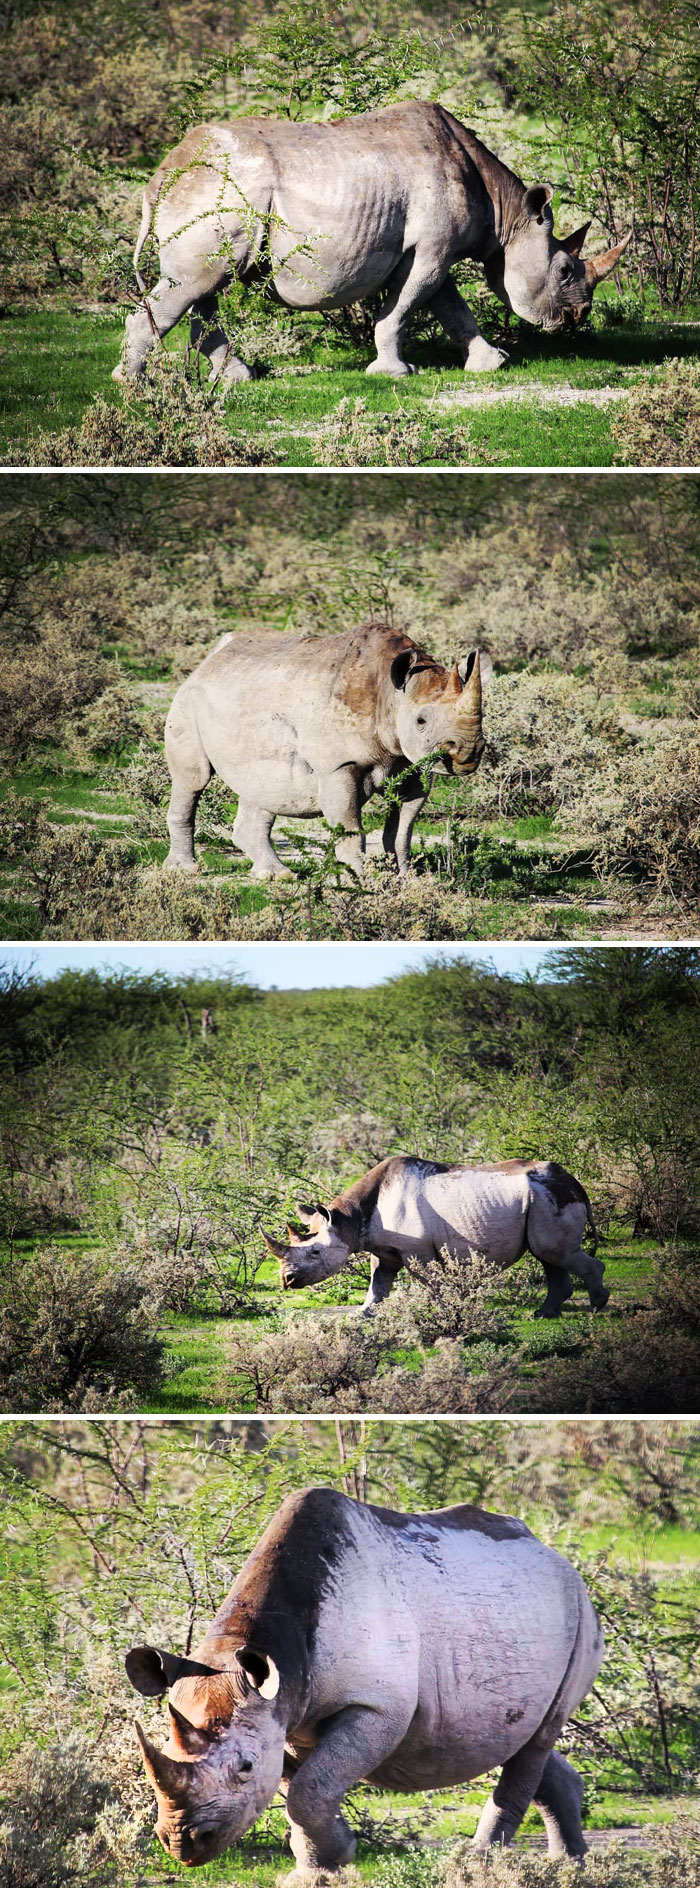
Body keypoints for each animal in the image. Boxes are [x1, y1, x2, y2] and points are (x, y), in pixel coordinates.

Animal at [114, 100, 630, 384]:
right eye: (563, 270)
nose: (578, 317)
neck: (509, 217)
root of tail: (159, 176)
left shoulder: (433, 249)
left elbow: (451, 308)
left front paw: (493, 364)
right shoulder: (432, 250)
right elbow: (406, 306)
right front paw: (395, 373)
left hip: (214, 195)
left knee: (205, 289)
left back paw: (238, 379)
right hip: (215, 192)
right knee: (192, 286)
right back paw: (132, 385)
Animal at [126, 1486, 603, 1874]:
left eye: (244, 1768)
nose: (182, 1843)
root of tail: (557, 1557)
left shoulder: (375, 1708)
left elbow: (308, 1791)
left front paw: (328, 1862)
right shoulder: (283, 1713)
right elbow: (302, 1787)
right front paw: (326, 1862)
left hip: (580, 1613)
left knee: (538, 1739)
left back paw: (477, 1866)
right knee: (523, 1737)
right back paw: (571, 1865)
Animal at [164, 625, 492, 880]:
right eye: (421, 721)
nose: (468, 751)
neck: (392, 695)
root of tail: (209, 659)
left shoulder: (413, 764)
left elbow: (403, 828)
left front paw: (407, 880)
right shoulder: (338, 765)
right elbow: (350, 826)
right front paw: (359, 881)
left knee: (262, 787)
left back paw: (275, 876)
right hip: (189, 699)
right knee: (193, 779)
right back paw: (184, 871)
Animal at [263, 1154, 609, 1317]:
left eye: (315, 1253)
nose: (287, 1280)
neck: (348, 1221)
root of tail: (576, 1184)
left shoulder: (416, 1249)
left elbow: (431, 1280)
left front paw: (444, 1311)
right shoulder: (384, 1248)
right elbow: (378, 1282)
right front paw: (364, 1314)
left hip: (550, 1198)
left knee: (553, 1253)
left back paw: (596, 1307)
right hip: (543, 1199)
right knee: (548, 1255)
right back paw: (544, 1314)